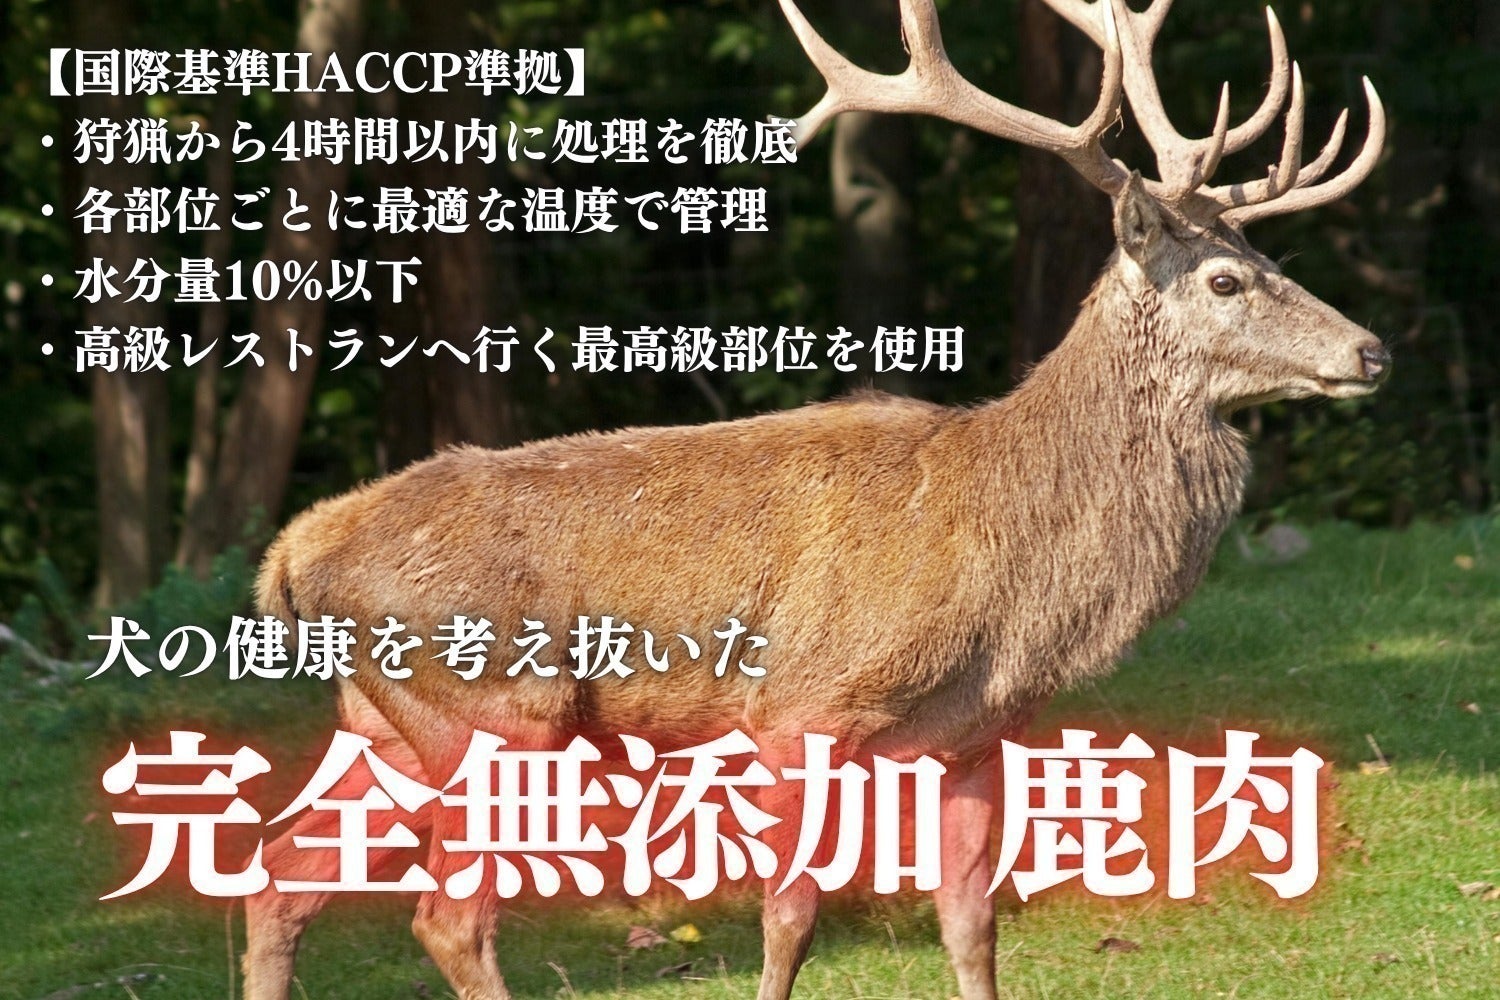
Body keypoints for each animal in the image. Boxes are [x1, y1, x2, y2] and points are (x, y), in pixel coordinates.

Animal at [241, 1, 1389, 998]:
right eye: (1225, 282)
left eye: (1270, 258)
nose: (1370, 350)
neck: (1008, 560)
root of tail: (292, 556)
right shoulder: (801, 705)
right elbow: (790, 917)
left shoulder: (975, 735)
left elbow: (972, 922)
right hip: (496, 709)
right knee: (445, 916)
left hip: (385, 726)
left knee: (277, 877)